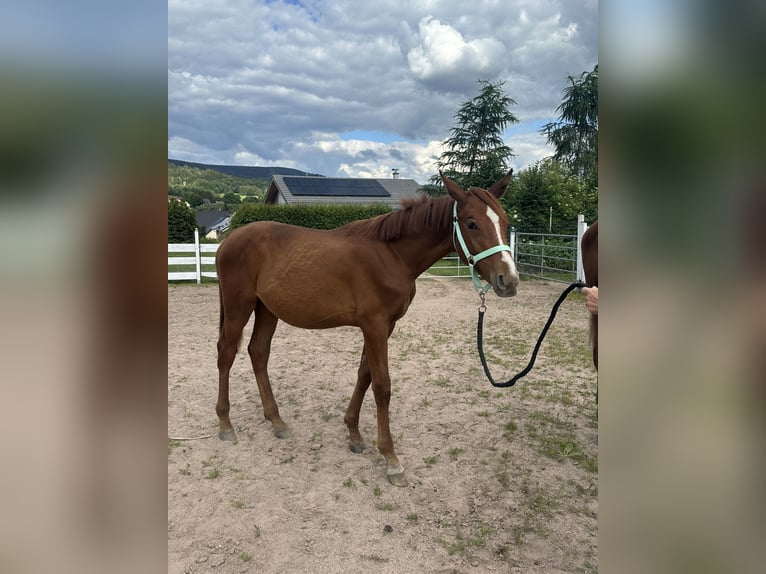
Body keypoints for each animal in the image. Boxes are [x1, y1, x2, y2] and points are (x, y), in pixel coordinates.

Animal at [214, 170, 520, 486]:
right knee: (226, 354)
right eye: (472, 223)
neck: (392, 255)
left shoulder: (384, 326)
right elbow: (382, 385)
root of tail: (228, 241)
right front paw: (391, 459)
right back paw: (226, 424)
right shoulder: (374, 325)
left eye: (504, 221)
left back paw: (276, 420)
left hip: (266, 310)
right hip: (239, 307)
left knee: (258, 352)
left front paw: (354, 434)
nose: (508, 281)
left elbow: (364, 375)